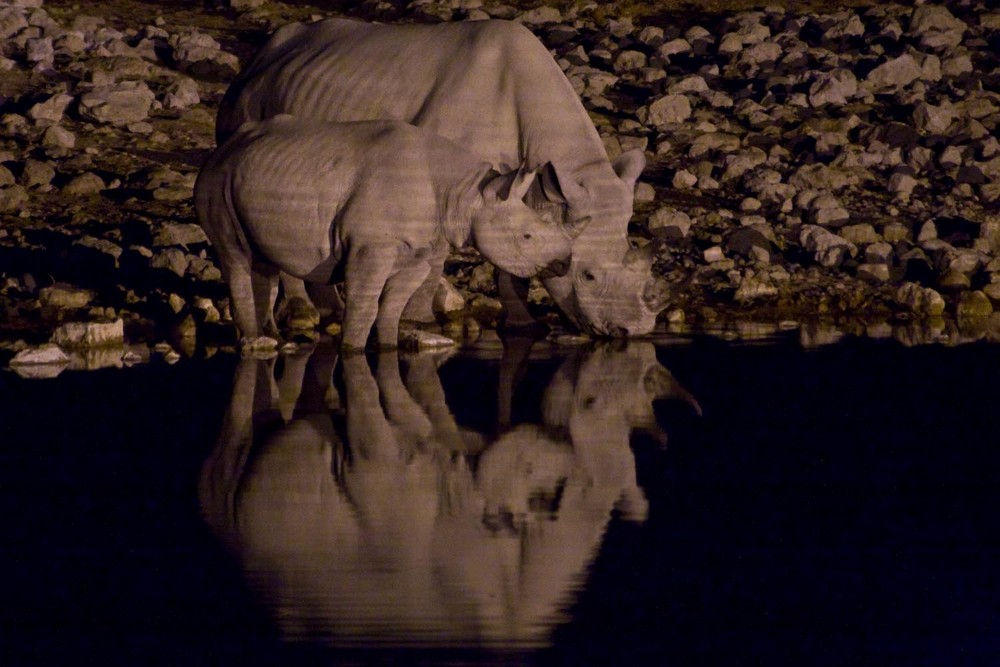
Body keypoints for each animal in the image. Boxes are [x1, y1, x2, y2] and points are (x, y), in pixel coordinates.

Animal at [195, 117, 572, 352]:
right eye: (527, 237)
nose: (565, 263)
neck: (464, 194)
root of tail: (222, 147)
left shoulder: (420, 250)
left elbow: (392, 307)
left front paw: (388, 347)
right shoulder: (371, 247)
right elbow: (364, 307)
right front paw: (352, 350)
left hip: (252, 174)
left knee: (262, 260)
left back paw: (272, 339)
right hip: (216, 178)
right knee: (235, 255)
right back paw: (255, 342)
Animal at [219, 18, 672, 336]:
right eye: (588, 275)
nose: (630, 332)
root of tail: (262, 55)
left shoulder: (518, 193)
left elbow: (515, 260)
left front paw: (523, 325)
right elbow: (436, 258)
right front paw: (419, 321)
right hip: (246, 102)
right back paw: (303, 316)